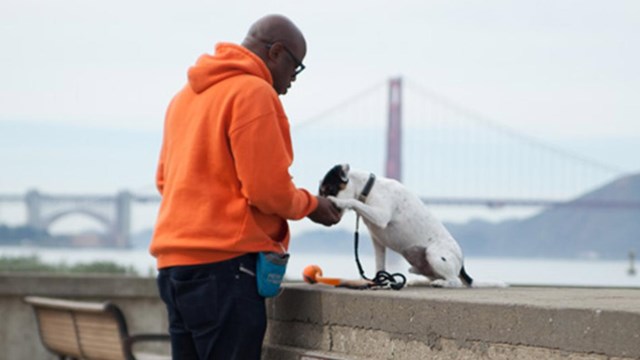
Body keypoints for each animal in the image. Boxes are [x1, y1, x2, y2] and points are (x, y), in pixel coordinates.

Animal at [320, 165, 476, 288]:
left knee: (454, 281)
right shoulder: (378, 242)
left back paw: (441, 283)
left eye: (329, 189)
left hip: (433, 254)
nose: (321, 200)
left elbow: (354, 201)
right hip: (421, 267)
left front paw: (339, 201)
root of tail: (461, 264)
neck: (369, 188)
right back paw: (418, 282)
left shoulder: (381, 216)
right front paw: (379, 282)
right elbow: (380, 266)